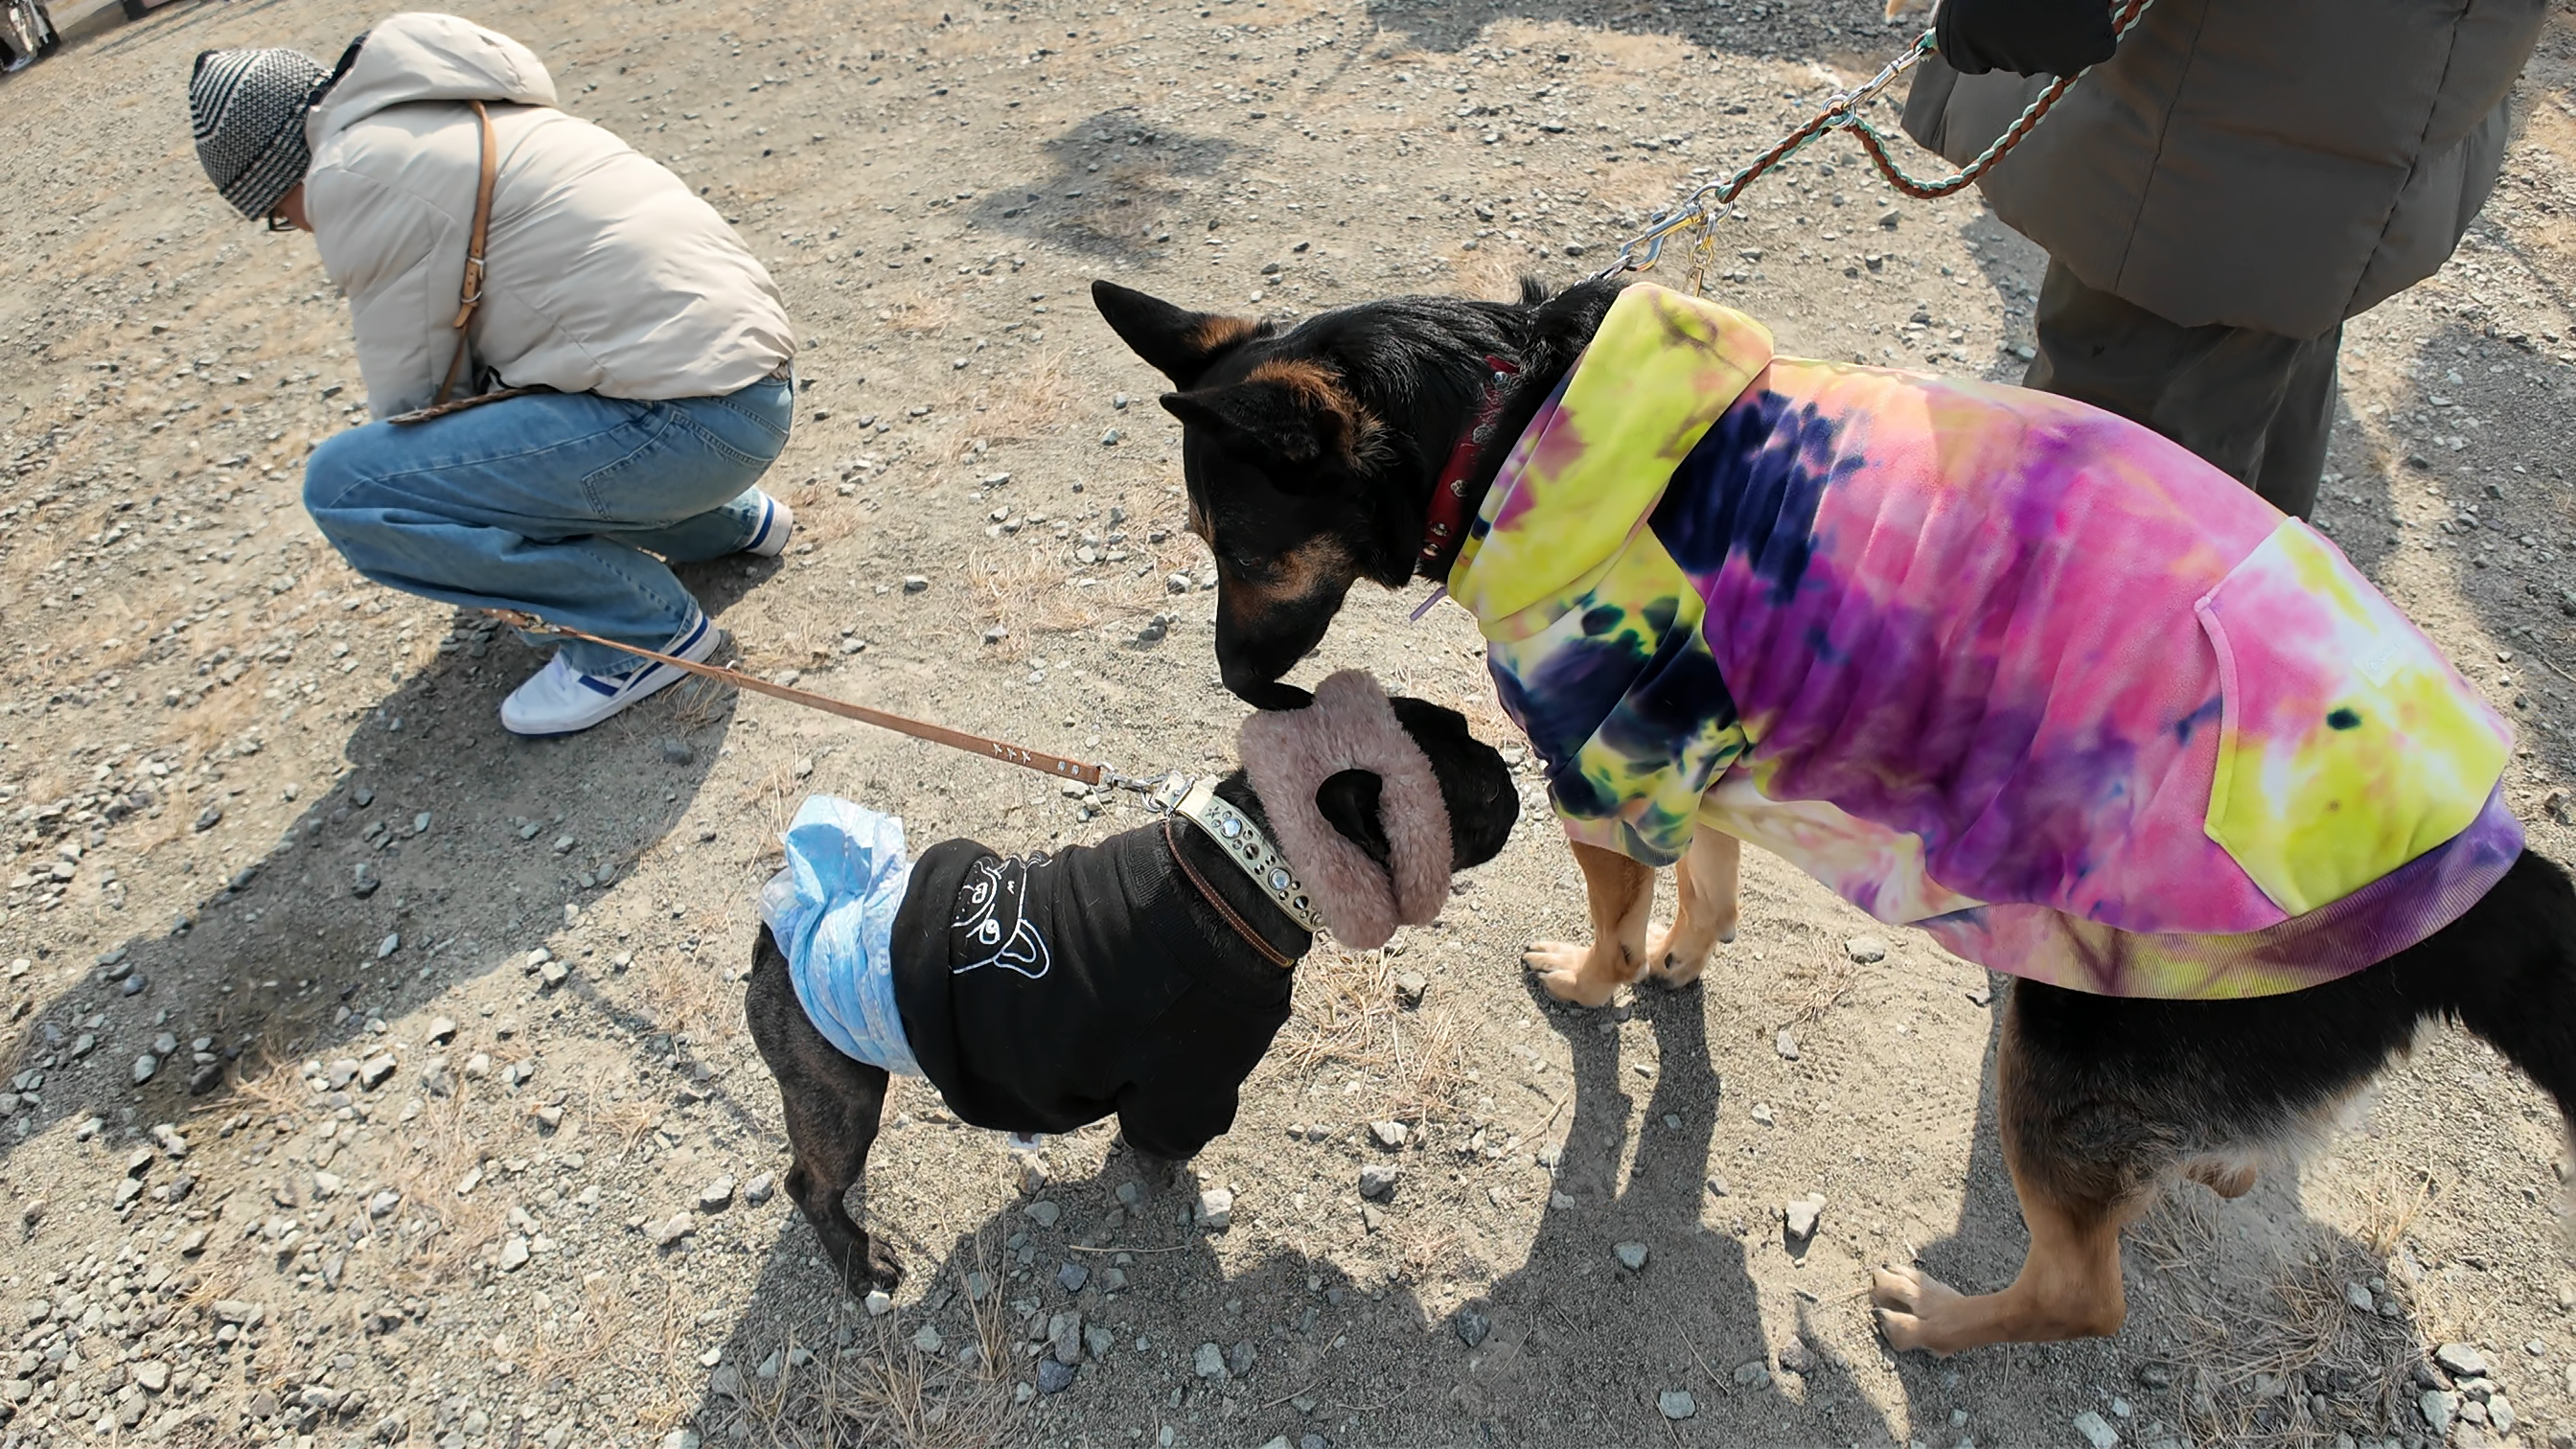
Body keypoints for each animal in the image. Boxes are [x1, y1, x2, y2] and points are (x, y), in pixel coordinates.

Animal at [744, 672, 1516, 1294]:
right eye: (1477, 797)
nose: (1512, 778)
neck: (1250, 861)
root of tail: (779, 933)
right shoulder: (1187, 1090)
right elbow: (1160, 1148)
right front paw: (1169, 1185)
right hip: (842, 1097)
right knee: (809, 1183)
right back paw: (859, 1260)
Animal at [1092, 273, 2576, 1356]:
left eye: (1241, 548)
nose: (1243, 691)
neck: (1508, 418)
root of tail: (2484, 869)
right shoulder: (1702, 744)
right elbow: (1711, 885)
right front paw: (1684, 963)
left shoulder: (1606, 766)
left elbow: (1617, 921)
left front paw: (1595, 981)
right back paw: (2219, 1165)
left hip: (2081, 1021)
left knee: (2084, 1292)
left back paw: (1943, 1323)